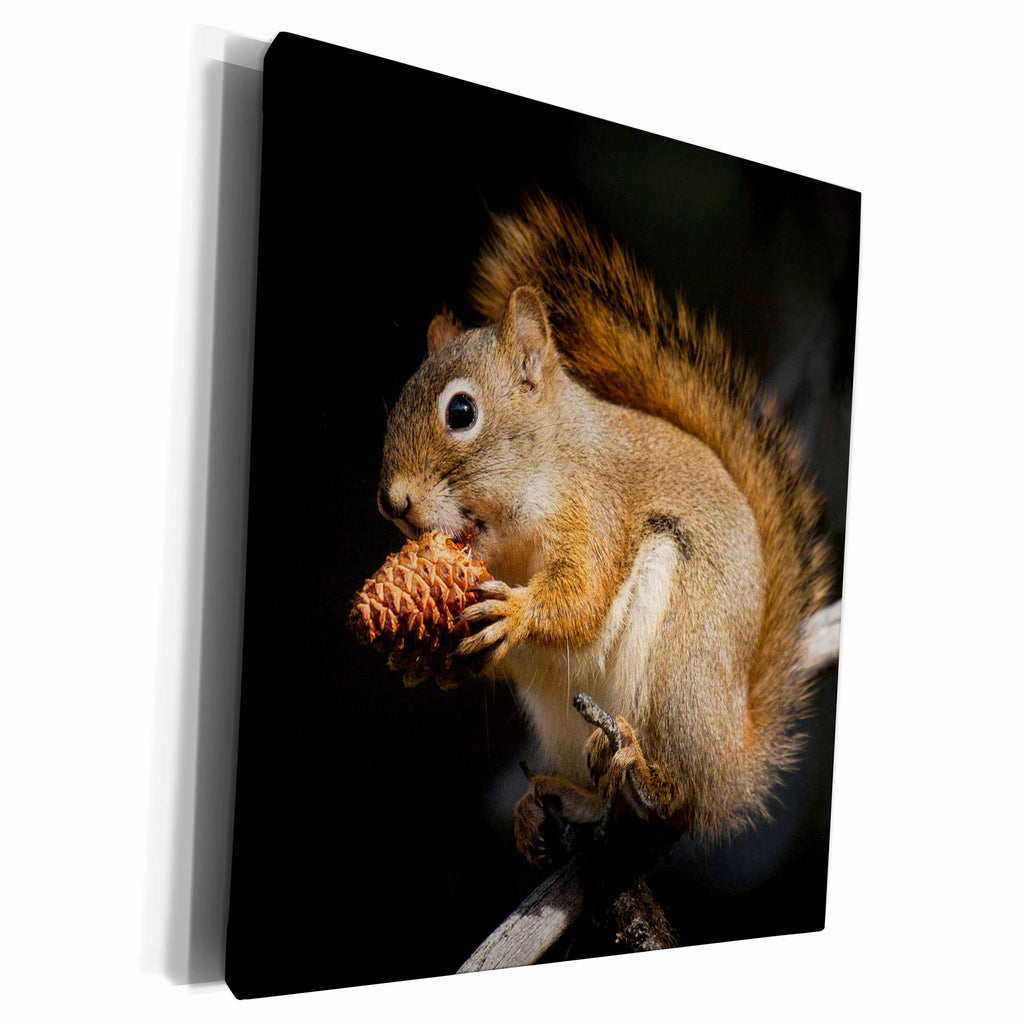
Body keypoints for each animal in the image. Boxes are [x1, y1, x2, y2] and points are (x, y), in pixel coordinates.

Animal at [376, 195, 832, 865]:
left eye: (461, 411)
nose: (393, 503)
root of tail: (736, 764)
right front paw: (424, 665)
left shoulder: (596, 508)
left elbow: (584, 596)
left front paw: (518, 612)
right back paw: (557, 802)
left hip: (680, 666)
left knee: (682, 798)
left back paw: (647, 773)